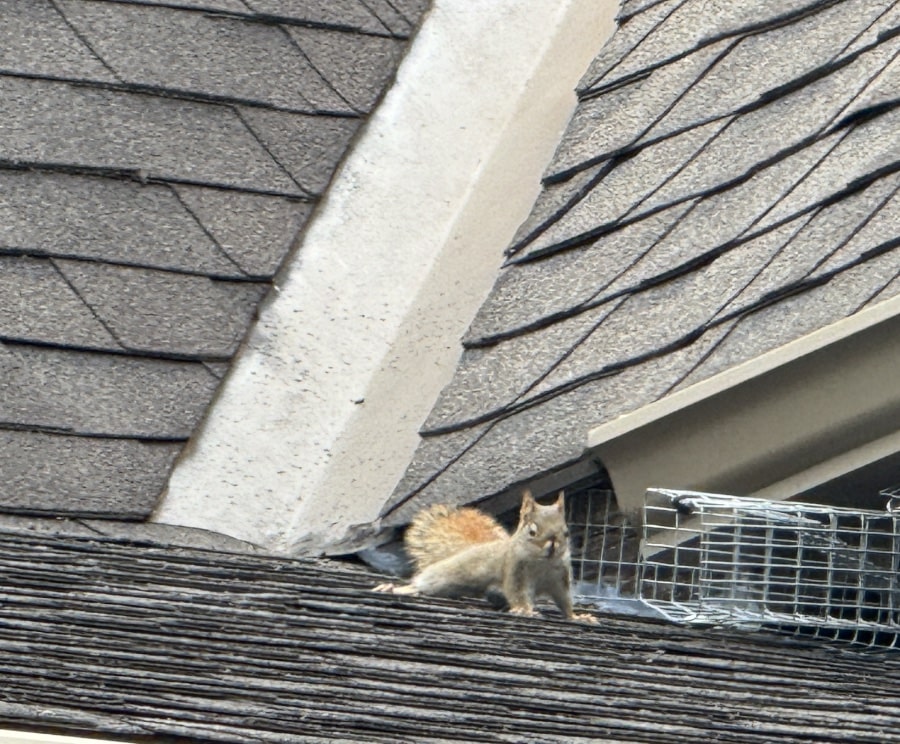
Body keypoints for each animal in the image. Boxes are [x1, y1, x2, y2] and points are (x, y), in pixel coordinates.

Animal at [373, 490, 597, 623]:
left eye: (566, 533)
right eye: (532, 531)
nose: (552, 546)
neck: (543, 563)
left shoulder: (559, 579)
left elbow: (564, 600)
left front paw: (577, 617)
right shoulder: (514, 571)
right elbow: (518, 593)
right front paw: (524, 610)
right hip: (445, 574)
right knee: (422, 582)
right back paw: (395, 588)